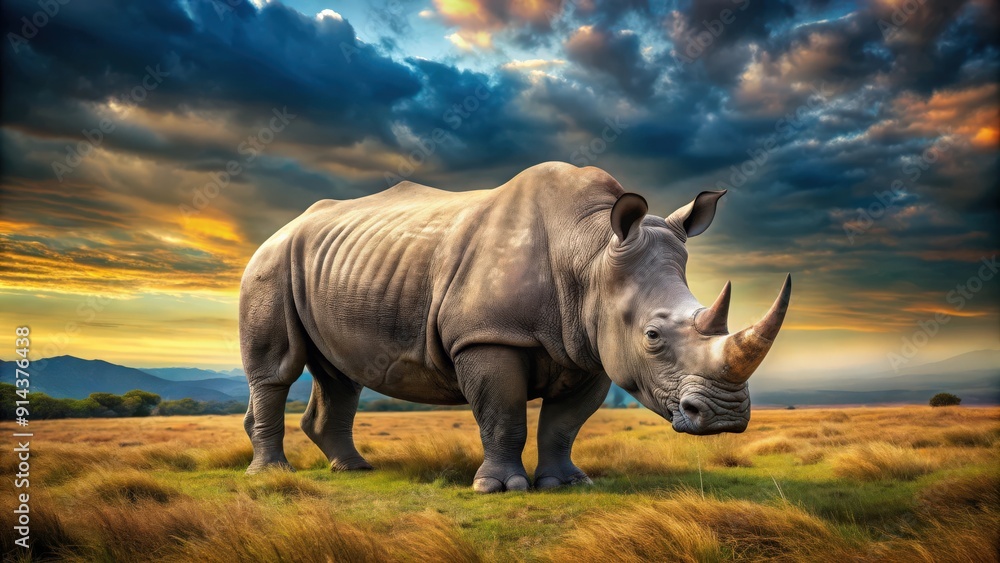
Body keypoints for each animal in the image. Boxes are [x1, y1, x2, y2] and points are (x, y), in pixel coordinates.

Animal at [240, 162, 791, 492]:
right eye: (652, 337)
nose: (725, 417)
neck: (589, 250)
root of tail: (283, 228)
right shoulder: (488, 336)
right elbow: (503, 415)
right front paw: (499, 489)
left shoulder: (590, 348)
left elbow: (564, 424)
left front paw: (567, 483)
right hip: (271, 262)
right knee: (277, 370)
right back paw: (270, 476)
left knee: (340, 376)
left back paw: (354, 469)